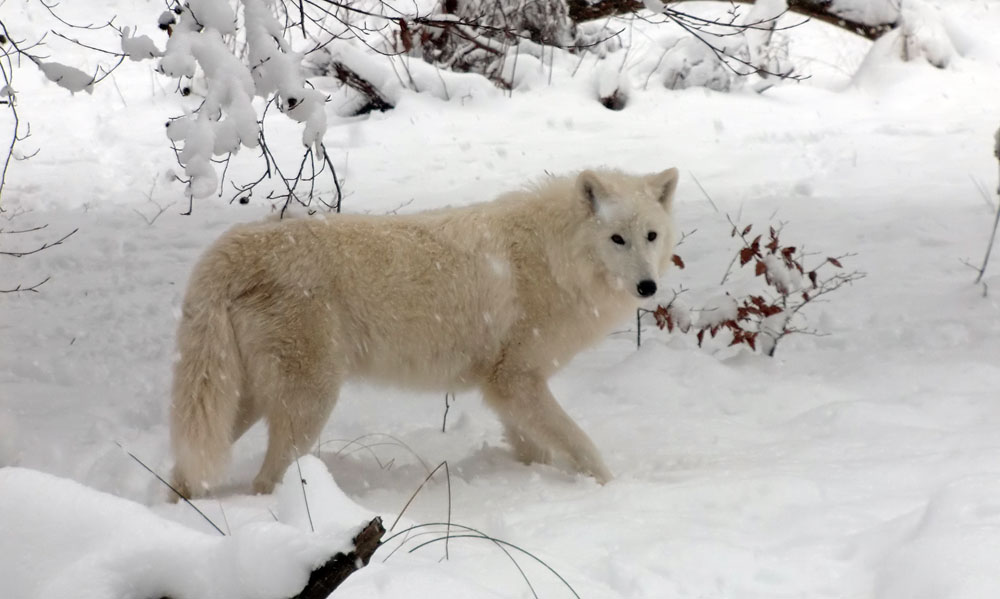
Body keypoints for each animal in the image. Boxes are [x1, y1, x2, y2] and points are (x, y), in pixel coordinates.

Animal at [172, 166, 680, 500]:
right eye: (617, 239)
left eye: (651, 236)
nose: (647, 287)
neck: (554, 257)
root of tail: (230, 247)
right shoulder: (516, 380)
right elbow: (580, 444)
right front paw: (610, 490)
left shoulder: (505, 390)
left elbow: (536, 449)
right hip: (309, 403)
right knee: (265, 482)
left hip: (240, 400)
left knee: (186, 465)